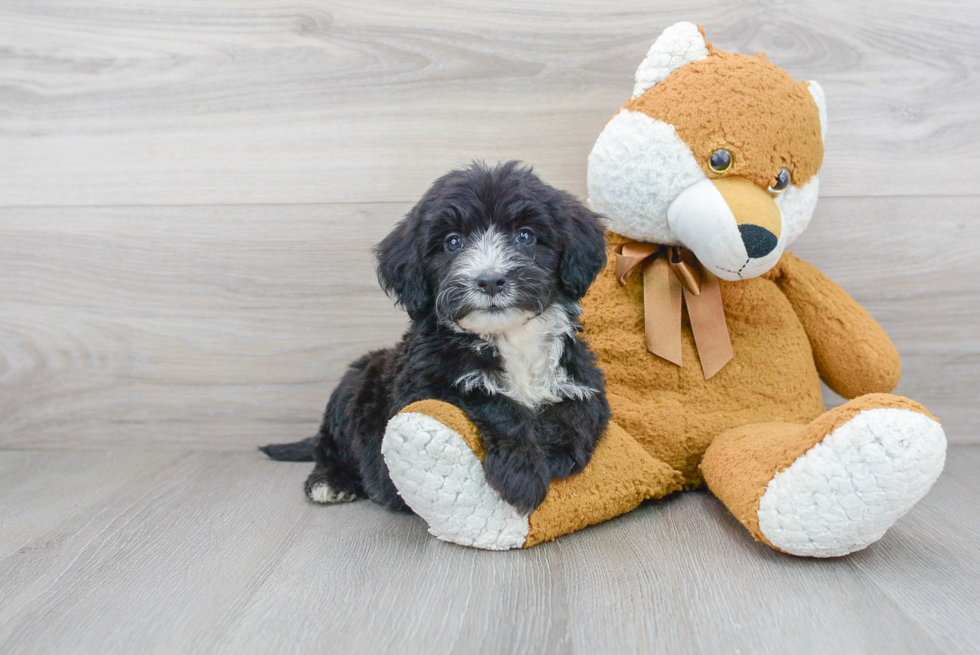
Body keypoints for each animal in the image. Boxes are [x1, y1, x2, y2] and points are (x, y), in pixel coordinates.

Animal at [264, 161, 608, 516]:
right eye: (453, 242)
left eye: (525, 236)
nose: (490, 281)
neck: (508, 335)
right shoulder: (422, 388)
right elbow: (493, 401)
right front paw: (522, 474)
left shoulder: (582, 377)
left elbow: (578, 410)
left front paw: (556, 453)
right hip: (355, 382)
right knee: (329, 447)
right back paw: (328, 482)